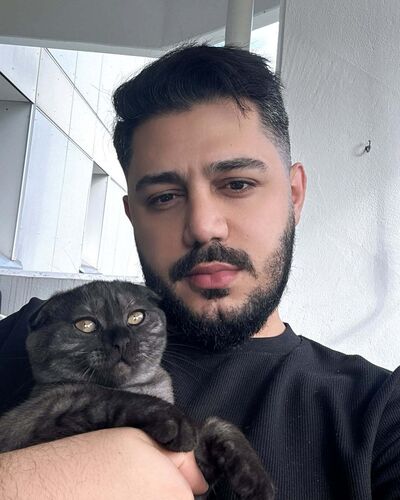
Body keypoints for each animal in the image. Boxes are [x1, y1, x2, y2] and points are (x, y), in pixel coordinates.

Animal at [0, 280, 274, 499]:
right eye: (86, 325)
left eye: (136, 317)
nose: (121, 340)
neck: (144, 387)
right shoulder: (28, 424)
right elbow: (98, 395)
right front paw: (175, 421)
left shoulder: (201, 478)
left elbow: (217, 424)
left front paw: (255, 478)